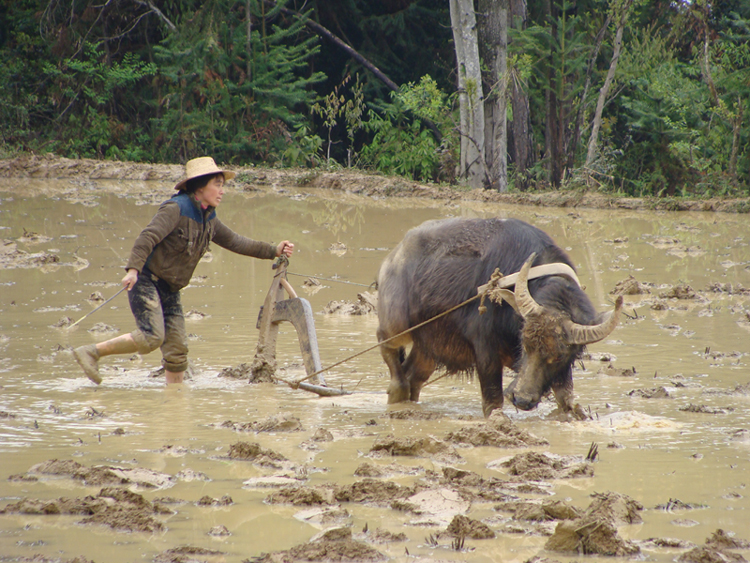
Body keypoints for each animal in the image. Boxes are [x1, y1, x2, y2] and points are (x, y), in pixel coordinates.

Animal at [378, 217, 624, 418]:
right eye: (525, 344)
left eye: (559, 356)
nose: (522, 399)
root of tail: (394, 256)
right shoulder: (485, 350)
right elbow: (493, 401)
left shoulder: (561, 371)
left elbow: (566, 399)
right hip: (396, 324)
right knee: (389, 350)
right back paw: (397, 388)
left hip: (431, 344)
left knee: (414, 376)